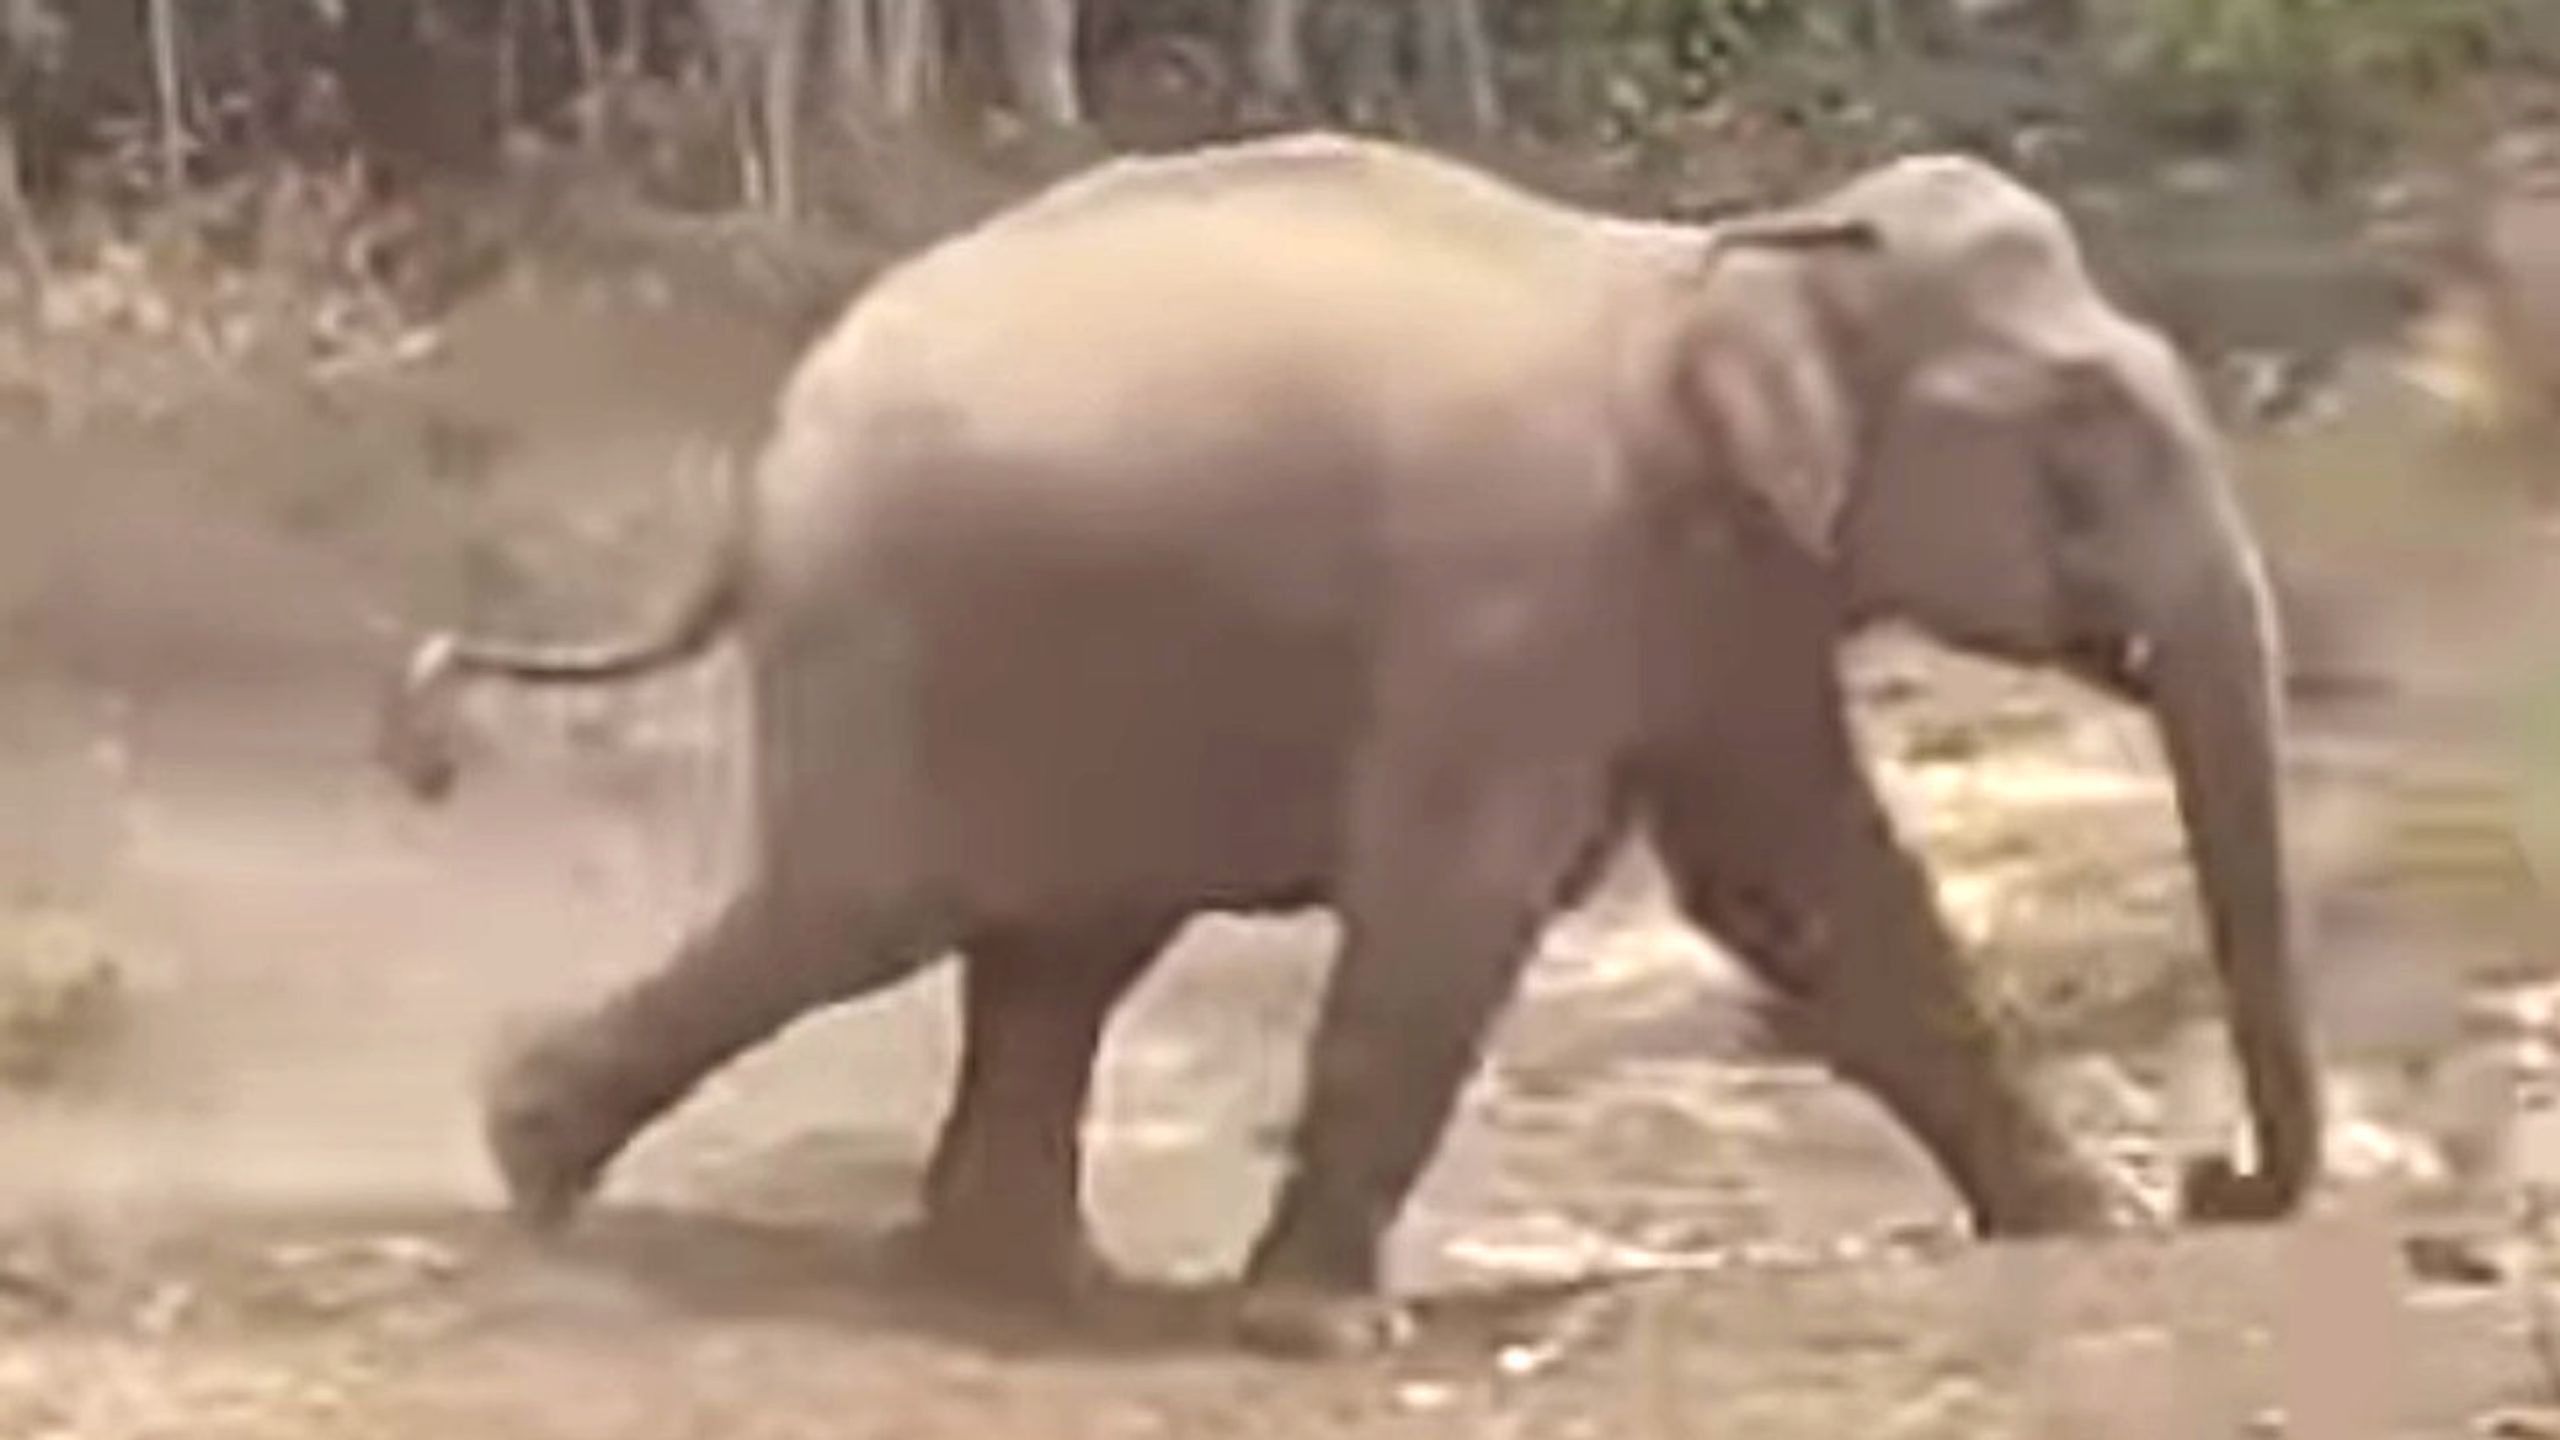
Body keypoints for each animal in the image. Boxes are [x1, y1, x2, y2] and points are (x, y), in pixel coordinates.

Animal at [379, 131, 2322, 1356]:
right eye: (2082, 434)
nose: (2219, 1179)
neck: (1743, 249)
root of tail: (766, 456)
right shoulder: (1521, 579)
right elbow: (1466, 892)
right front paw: (1326, 1338)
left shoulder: (1731, 594)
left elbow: (1809, 886)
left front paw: (2090, 1225)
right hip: (905, 639)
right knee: (865, 912)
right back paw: (531, 1164)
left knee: (1054, 948)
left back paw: (1020, 1284)